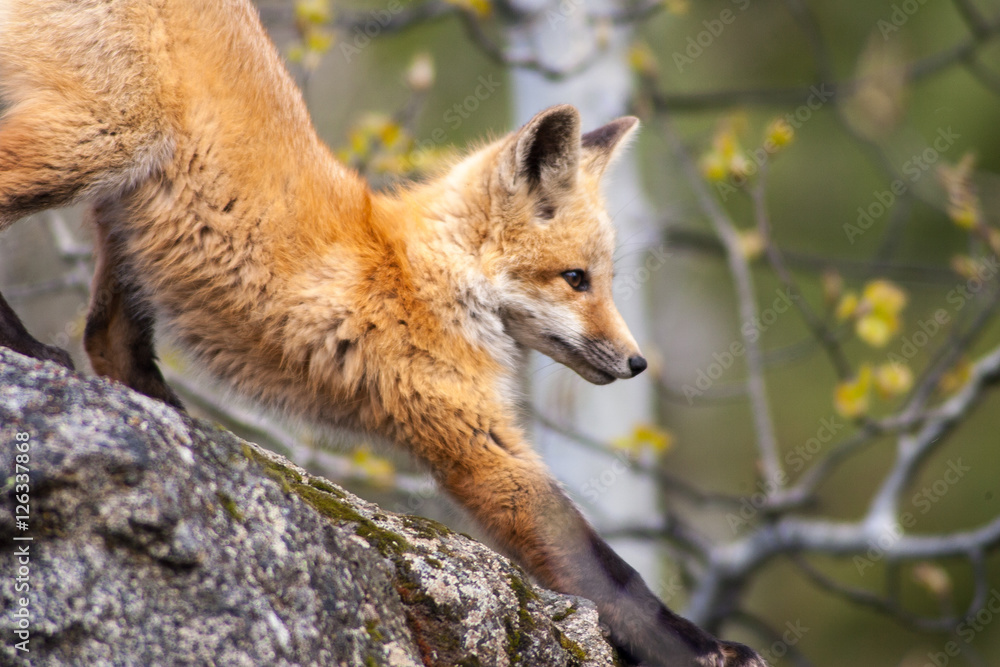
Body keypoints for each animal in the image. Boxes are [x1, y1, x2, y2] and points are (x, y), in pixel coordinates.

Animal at [0, 1, 766, 665]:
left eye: (604, 279)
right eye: (577, 279)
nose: (637, 364)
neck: (422, 277)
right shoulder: (478, 445)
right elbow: (609, 574)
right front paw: (702, 648)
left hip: (130, 215)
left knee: (109, 338)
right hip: (106, 141)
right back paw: (30, 348)